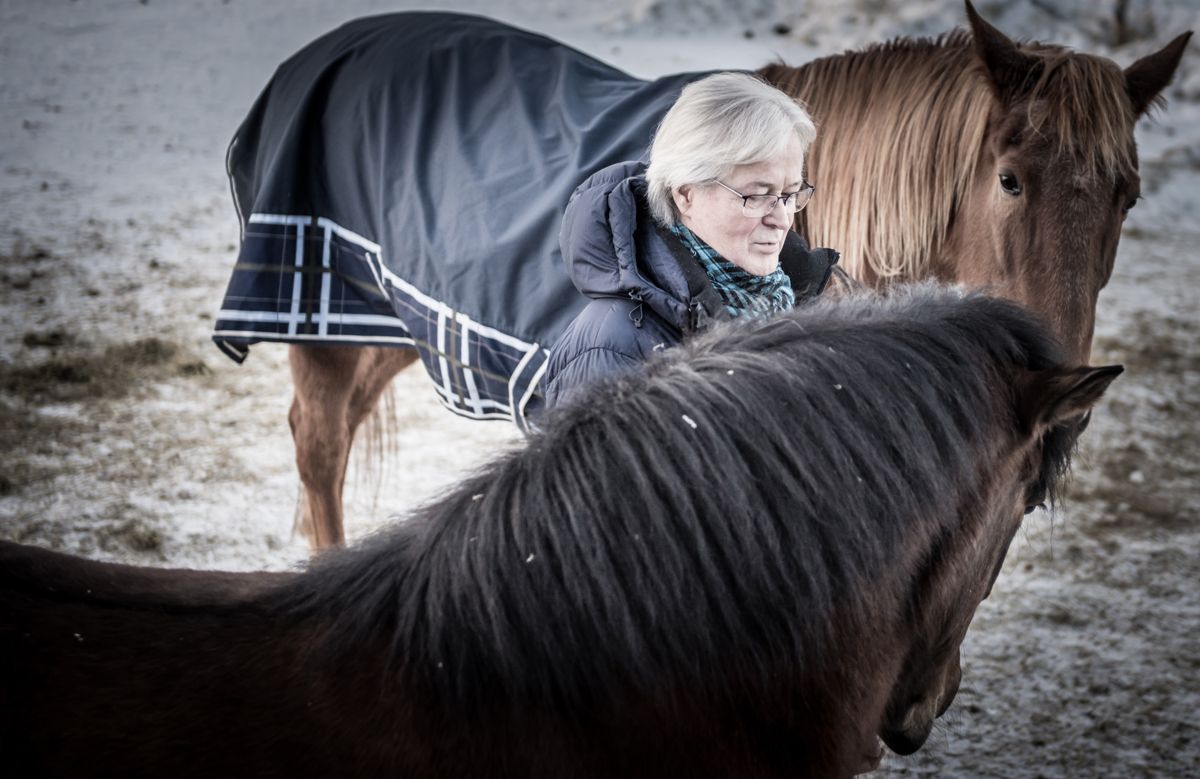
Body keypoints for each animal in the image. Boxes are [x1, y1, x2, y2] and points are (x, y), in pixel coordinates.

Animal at [211, 1, 1185, 547]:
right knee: (319, 447)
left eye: (1129, 196)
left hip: (397, 327)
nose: (1071, 391)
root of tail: (322, 54)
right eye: (1010, 179)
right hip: (324, 321)